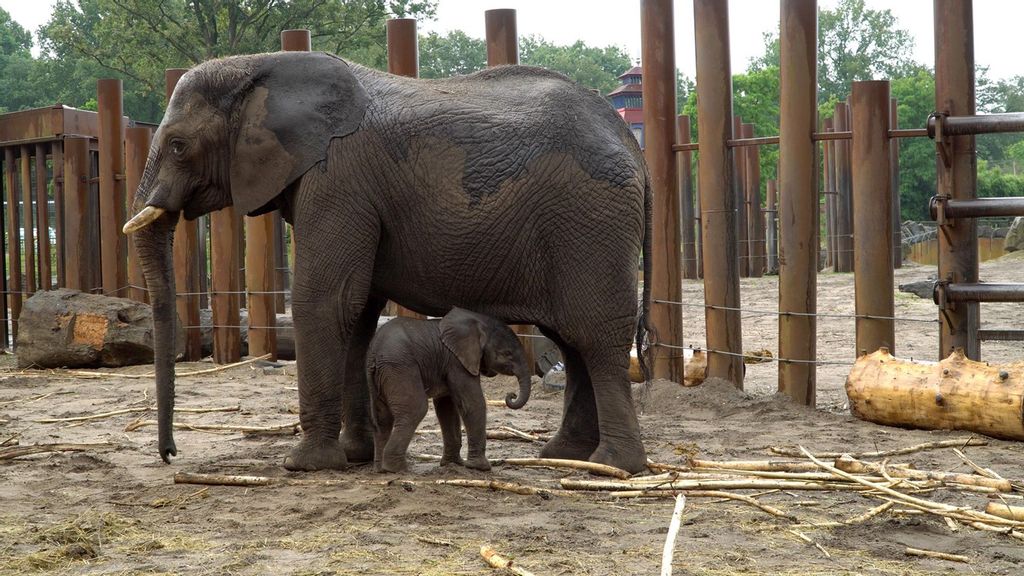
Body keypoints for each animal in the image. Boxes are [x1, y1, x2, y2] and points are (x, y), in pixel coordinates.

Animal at [364, 305, 532, 471]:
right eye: (507, 354)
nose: (511, 395)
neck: (478, 321)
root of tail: (374, 354)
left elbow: (447, 408)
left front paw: (453, 464)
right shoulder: (456, 362)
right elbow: (472, 403)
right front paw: (480, 467)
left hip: (380, 376)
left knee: (382, 418)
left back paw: (380, 469)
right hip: (399, 368)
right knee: (415, 409)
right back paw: (399, 468)